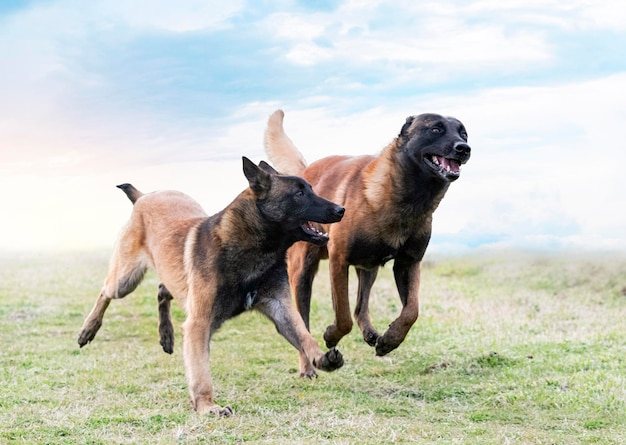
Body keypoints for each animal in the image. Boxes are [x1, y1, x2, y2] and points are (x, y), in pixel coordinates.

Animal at [77, 156, 346, 412]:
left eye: (310, 189)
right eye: (299, 194)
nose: (341, 209)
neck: (252, 247)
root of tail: (143, 196)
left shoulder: (281, 309)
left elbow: (304, 336)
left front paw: (321, 359)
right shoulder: (199, 323)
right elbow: (200, 372)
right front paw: (207, 406)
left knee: (163, 290)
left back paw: (166, 335)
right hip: (125, 281)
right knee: (105, 292)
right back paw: (89, 329)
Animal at [260, 109, 470, 376]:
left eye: (464, 133)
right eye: (436, 129)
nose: (464, 148)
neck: (408, 198)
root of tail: (305, 173)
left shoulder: (408, 264)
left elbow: (411, 310)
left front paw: (391, 340)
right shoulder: (339, 261)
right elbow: (343, 316)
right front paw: (331, 335)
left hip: (368, 268)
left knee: (361, 307)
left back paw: (370, 333)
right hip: (302, 273)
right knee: (303, 325)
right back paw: (308, 367)